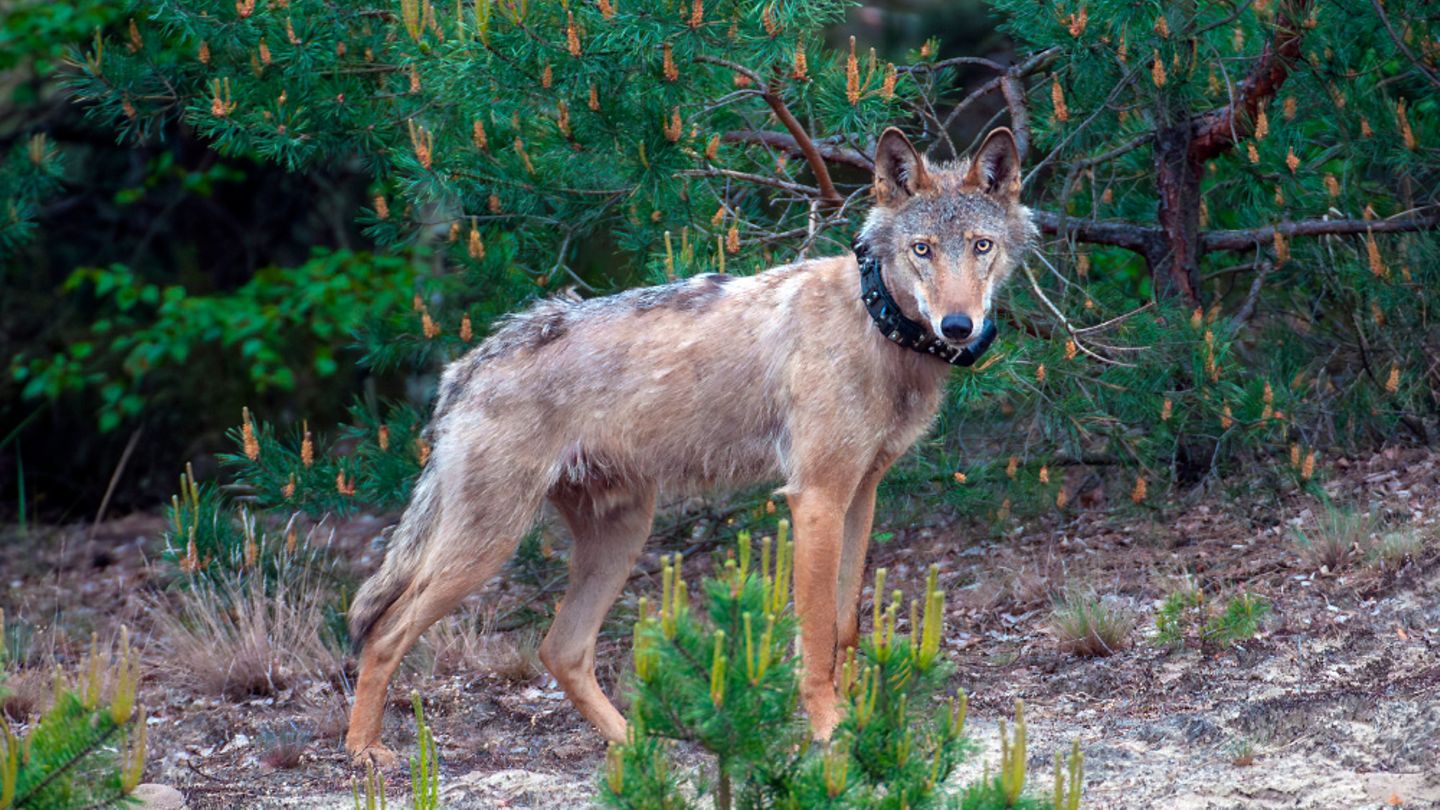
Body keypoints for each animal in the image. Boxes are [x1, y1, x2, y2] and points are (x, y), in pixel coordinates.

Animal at [344, 126, 1035, 766]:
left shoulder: (860, 497)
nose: (958, 326)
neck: (875, 323)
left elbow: (844, 627)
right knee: (383, 632)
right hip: (488, 547)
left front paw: (856, 715)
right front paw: (828, 731)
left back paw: (638, 747)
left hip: (621, 536)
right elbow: (814, 637)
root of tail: (467, 366)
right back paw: (364, 752)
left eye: (981, 246)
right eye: (922, 250)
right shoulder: (814, 499)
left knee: (560, 649)